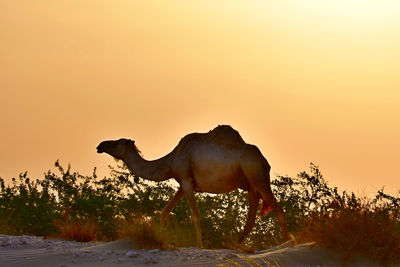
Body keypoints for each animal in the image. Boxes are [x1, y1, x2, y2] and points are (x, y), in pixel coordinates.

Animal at [96, 126, 288, 249]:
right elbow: (164, 211)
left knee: (279, 211)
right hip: (251, 186)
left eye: (116, 143)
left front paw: (199, 246)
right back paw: (235, 245)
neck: (170, 162)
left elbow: (195, 215)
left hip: (259, 179)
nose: (100, 145)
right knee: (251, 220)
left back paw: (288, 243)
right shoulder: (183, 184)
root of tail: (264, 162)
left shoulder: (187, 181)